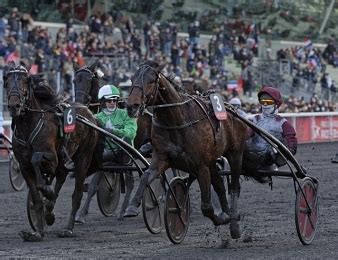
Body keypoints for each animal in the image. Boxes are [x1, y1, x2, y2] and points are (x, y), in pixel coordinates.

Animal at [3, 62, 99, 241]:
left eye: (24, 81)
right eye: (6, 81)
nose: (14, 105)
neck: (29, 125)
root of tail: (87, 110)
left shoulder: (52, 158)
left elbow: (36, 159)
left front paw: (47, 191)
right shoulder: (24, 167)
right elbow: (36, 198)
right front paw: (37, 232)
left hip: (84, 157)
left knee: (76, 194)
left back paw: (68, 228)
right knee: (61, 176)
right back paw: (49, 211)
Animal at [125, 61, 247, 240]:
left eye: (151, 80)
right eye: (132, 78)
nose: (131, 106)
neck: (176, 119)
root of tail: (234, 110)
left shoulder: (200, 165)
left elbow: (206, 206)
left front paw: (221, 219)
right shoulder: (162, 158)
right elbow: (146, 176)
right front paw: (132, 207)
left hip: (235, 154)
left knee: (234, 187)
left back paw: (234, 223)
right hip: (212, 160)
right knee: (219, 184)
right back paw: (226, 212)